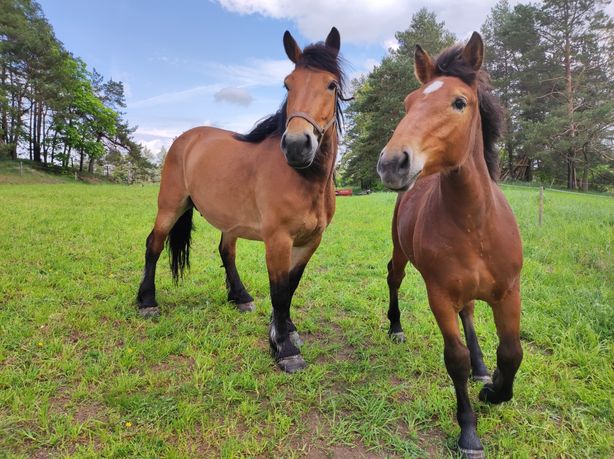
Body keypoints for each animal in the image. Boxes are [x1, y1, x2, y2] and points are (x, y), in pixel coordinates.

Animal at [138, 27, 348, 374]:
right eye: (287, 84)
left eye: (331, 85)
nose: (296, 145)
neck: (304, 180)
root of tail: (186, 139)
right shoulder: (277, 240)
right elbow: (279, 291)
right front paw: (284, 348)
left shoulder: (310, 241)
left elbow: (290, 287)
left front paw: (285, 330)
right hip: (170, 206)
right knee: (153, 244)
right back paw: (146, 301)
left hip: (228, 219)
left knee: (226, 251)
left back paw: (240, 296)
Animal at [378, 32, 528, 456]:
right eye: (409, 103)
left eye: (459, 102)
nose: (392, 163)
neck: (475, 225)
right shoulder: (440, 295)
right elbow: (455, 359)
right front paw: (469, 433)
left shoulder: (509, 291)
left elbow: (511, 352)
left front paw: (493, 389)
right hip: (401, 254)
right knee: (394, 278)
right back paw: (396, 327)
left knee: (470, 313)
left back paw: (482, 369)